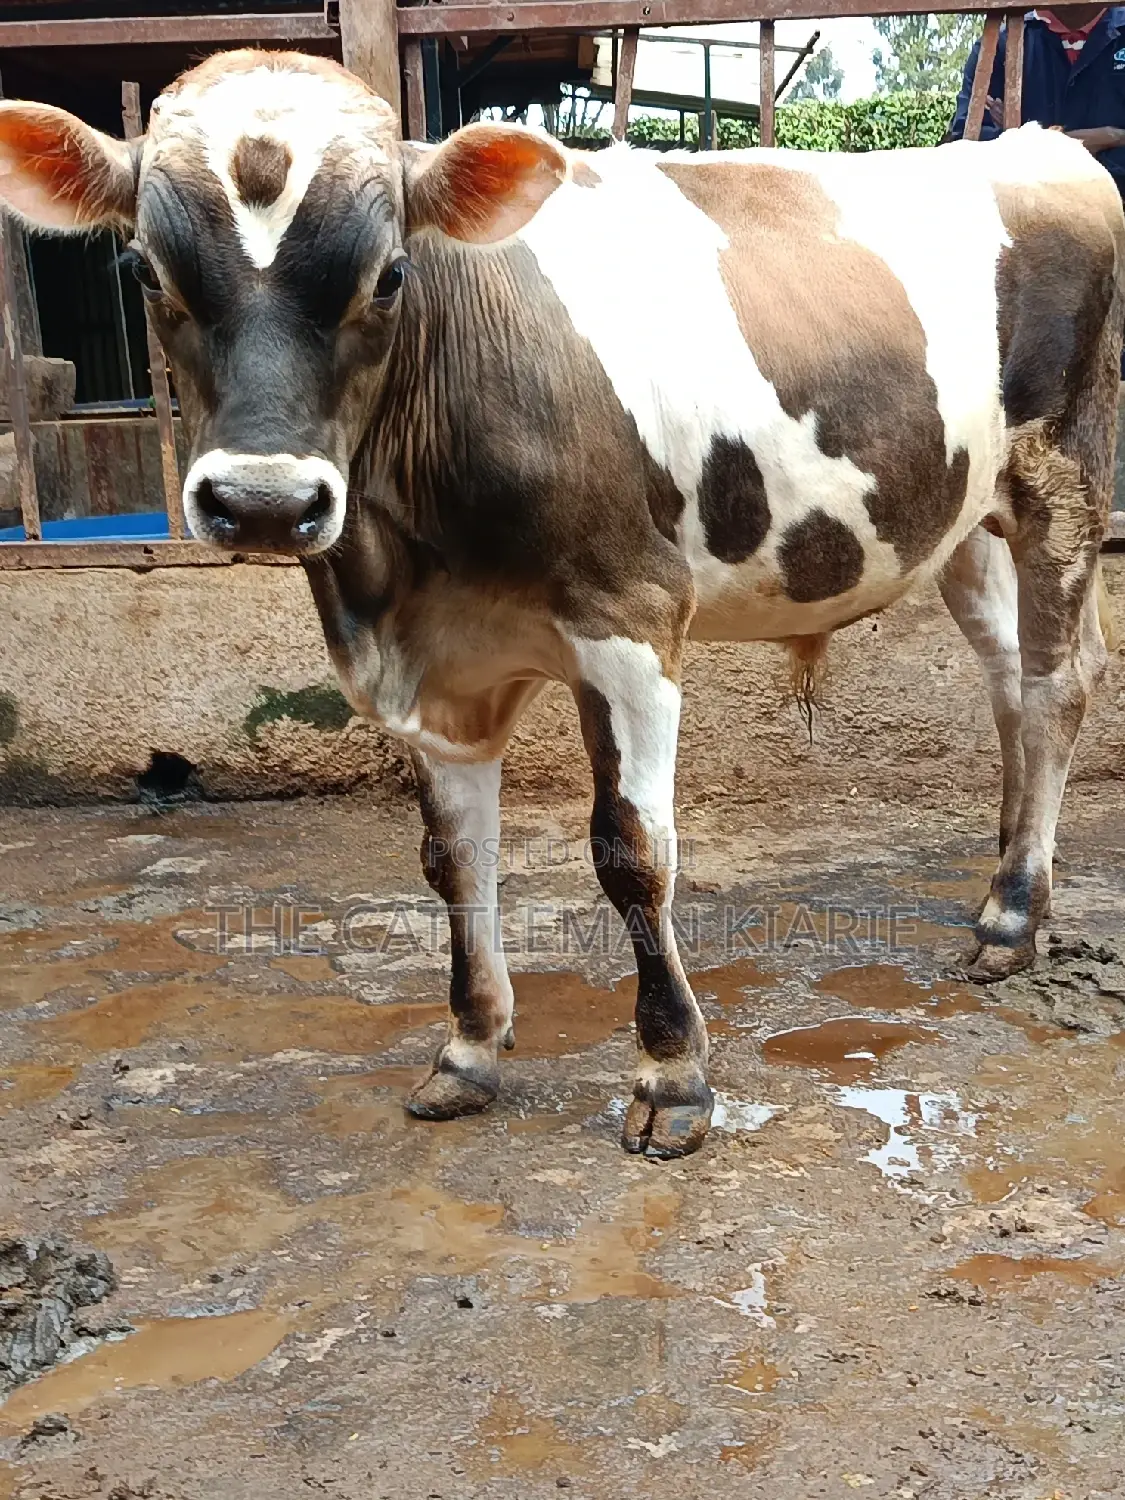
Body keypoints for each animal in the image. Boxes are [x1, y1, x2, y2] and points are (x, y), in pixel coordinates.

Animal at [0, 50, 1118, 1158]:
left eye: (391, 274)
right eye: (145, 270)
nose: (265, 502)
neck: (409, 569)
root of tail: (1040, 148)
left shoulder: (631, 622)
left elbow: (632, 851)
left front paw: (673, 1076)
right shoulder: (432, 671)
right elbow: (453, 859)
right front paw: (468, 1048)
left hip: (1059, 473)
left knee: (1058, 684)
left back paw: (1015, 918)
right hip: (959, 523)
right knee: (1009, 685)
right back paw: (1007, 885)